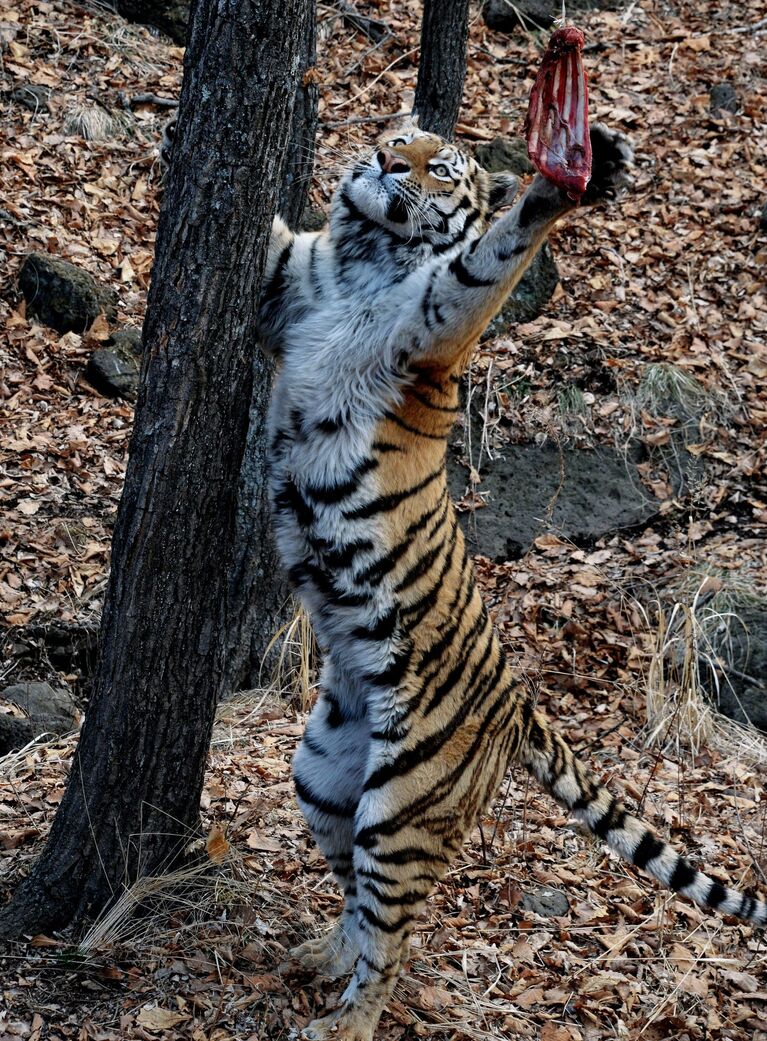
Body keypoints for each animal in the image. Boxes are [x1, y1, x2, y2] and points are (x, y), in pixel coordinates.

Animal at [245, 123, 765, 1041]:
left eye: (438, 165)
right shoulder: (288, 282)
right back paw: (324, 958)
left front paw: (567, 178)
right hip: (321, 773)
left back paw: (344, 1019)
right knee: (355, 901)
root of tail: (518, 703)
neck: (363, 254)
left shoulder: (433, 320)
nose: (384, 162)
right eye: (398, 138)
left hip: (403, 808)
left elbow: (491, 254)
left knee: (392, 936)